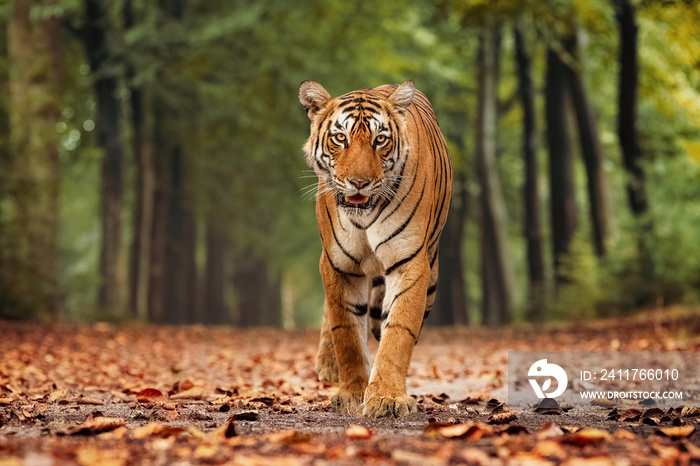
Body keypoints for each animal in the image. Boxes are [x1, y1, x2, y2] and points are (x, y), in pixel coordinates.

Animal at [296, 79, 454, 418]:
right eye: (340, 138)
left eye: (380, 140)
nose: (359, 182)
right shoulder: (337, 265)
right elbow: (347, 333)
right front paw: (352, 393)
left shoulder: (410, 262)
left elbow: (398, 331)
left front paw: (387, 397)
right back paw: (328, 365)